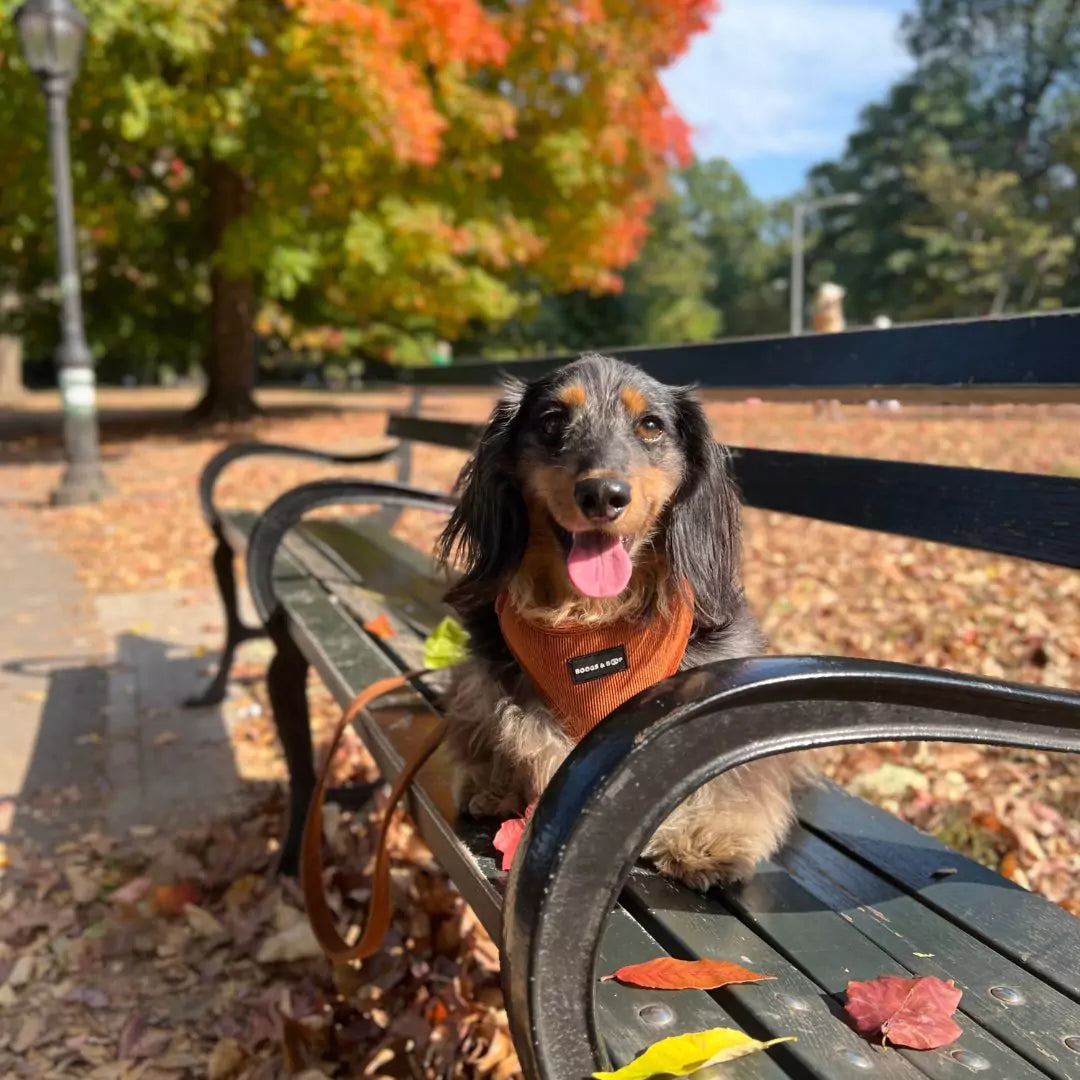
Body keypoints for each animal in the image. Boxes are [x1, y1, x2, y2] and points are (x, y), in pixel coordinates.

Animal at [432, 354, 803, 885]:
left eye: (650, 425)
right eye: (552, 422)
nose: (602, 495)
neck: (593, 617)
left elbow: (725, 765)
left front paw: (709, 835)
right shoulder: (494, 681)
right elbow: (522, 730)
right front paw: (506, 780)